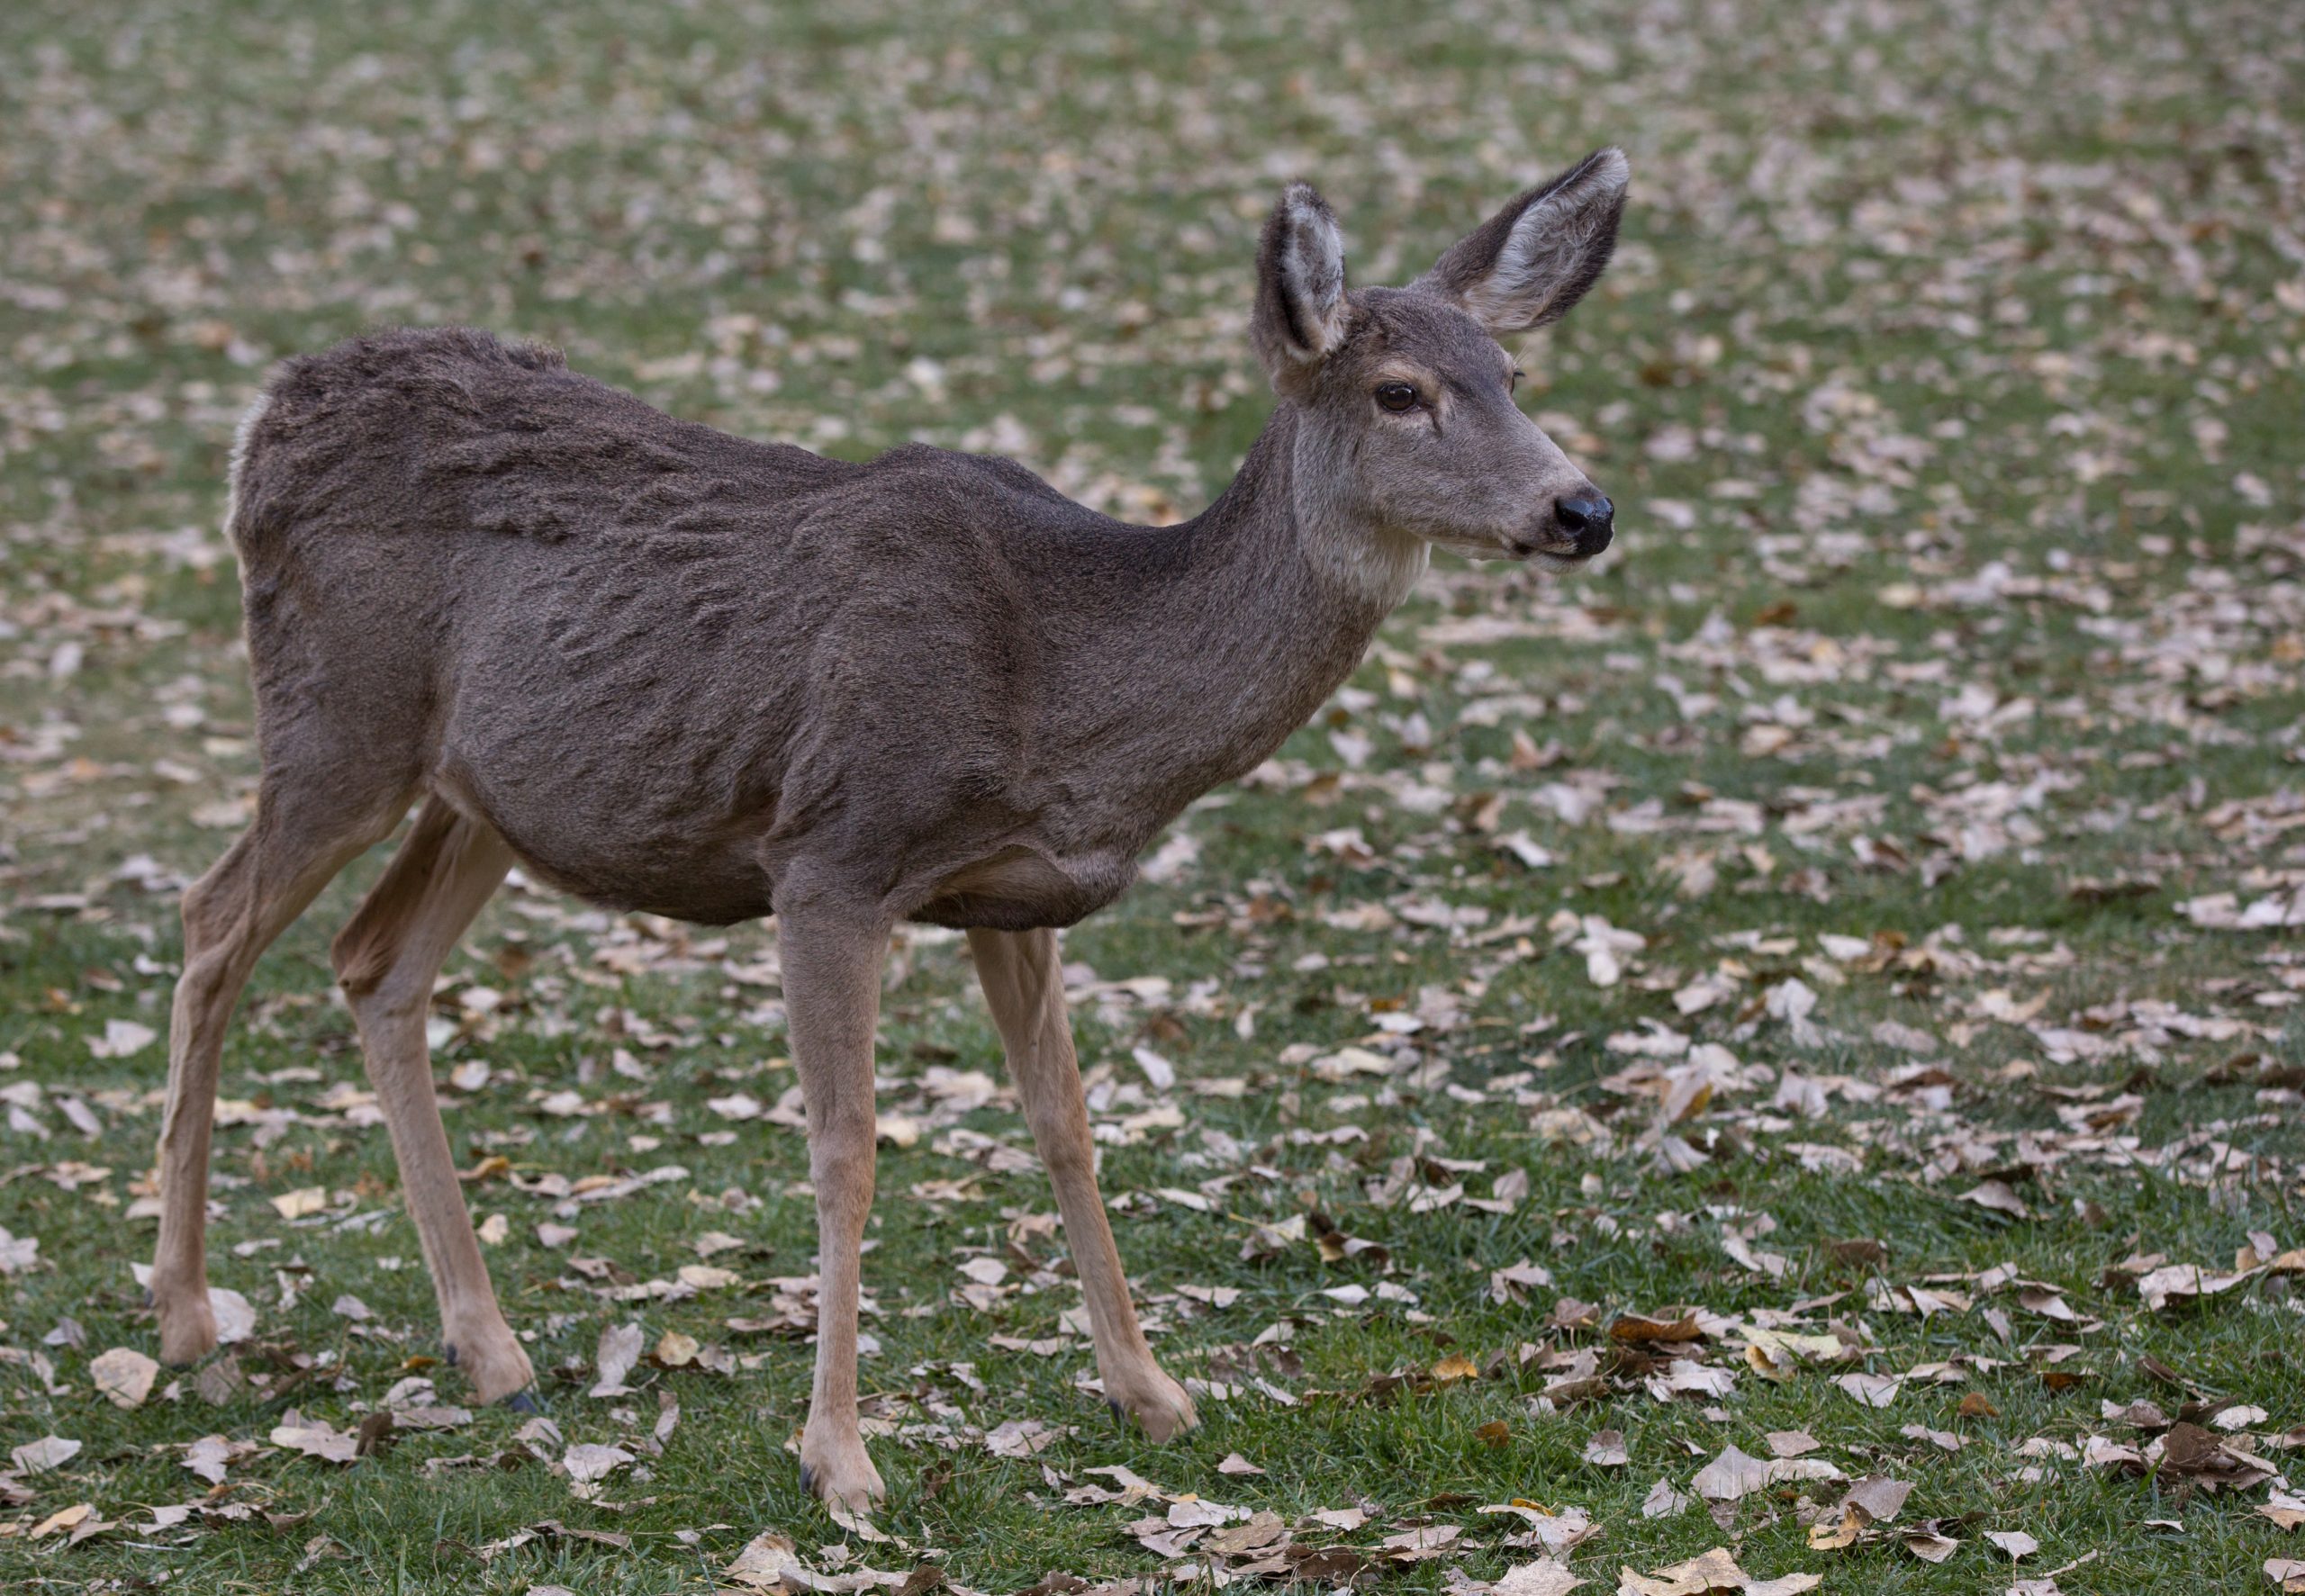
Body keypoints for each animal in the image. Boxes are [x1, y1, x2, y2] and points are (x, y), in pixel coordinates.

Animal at [153, 149, 1632, 1510]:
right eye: (1400, 393)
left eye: (1510, 371)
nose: (1584, 507)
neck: (1073, 684)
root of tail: (265, 415)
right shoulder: (832, 854)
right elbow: (848, 1151)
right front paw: (842, 1458)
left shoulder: (1010, 895)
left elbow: (1067, 1125)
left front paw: (1152, 1392)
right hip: (338, 716)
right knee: (213, 917)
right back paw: (186, 1318)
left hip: (485, 793)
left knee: (373, 960)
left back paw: (491, 1350)